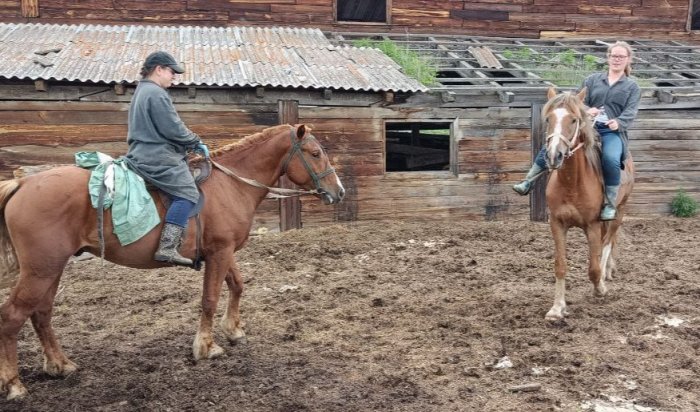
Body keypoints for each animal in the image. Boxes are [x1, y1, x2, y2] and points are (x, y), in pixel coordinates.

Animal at [0, 123, 346, 400]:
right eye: (315, 153)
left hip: (50, 268)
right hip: (41, 270)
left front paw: (234, 330)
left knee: (41, 313)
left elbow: (237, 286)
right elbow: (210, 299)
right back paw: (15, 384)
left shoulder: (223, 252)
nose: (338, 192)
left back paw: (59, 365)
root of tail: (23, 184)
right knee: (13, 316)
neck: (231, 185)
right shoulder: (220, 252)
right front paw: (206, 346)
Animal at [540, 87, 636, 322]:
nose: (554, 155)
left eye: (574, 119)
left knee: (608, 243)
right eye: (548, 119)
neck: (572, 183)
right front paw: (557, 308)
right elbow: (560, 265)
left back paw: (604, 276)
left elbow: (593, 268)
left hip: (619, 212)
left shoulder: (592, 225)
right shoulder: (557, 224)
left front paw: (599, 288)